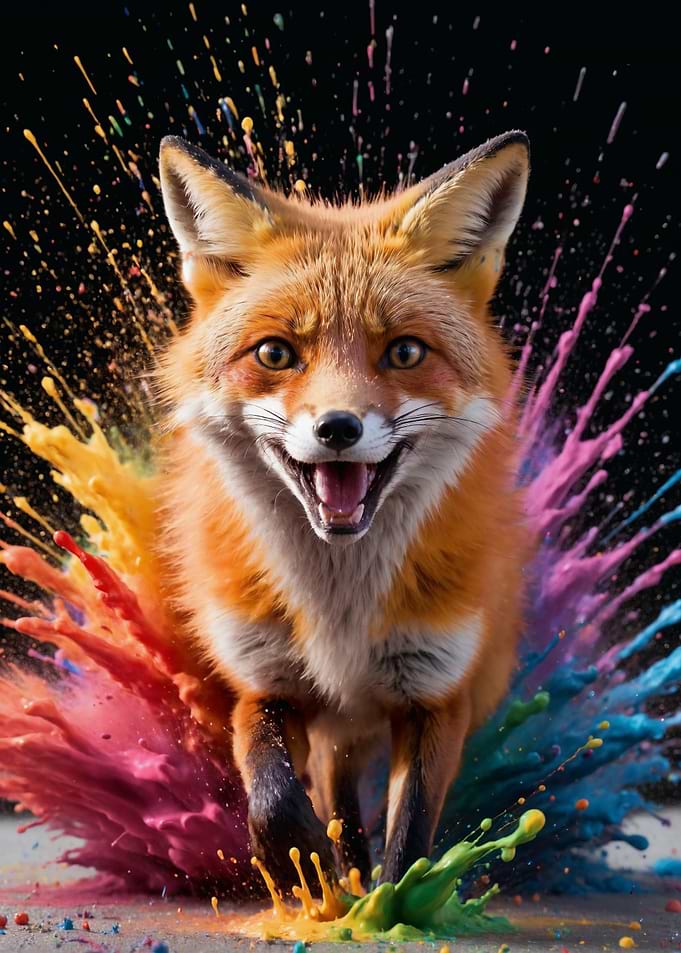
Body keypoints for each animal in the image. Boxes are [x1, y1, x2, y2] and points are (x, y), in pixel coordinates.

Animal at [156, 130, 531, 888]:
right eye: (275, 353)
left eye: (405, 351)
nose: (338, 428)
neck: (339, 608)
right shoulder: (264, 681)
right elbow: (271, 790)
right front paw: (301, 862)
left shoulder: (434, 693)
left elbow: (409, 837)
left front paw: (391, 901)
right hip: (335, 732)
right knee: (335, 797)